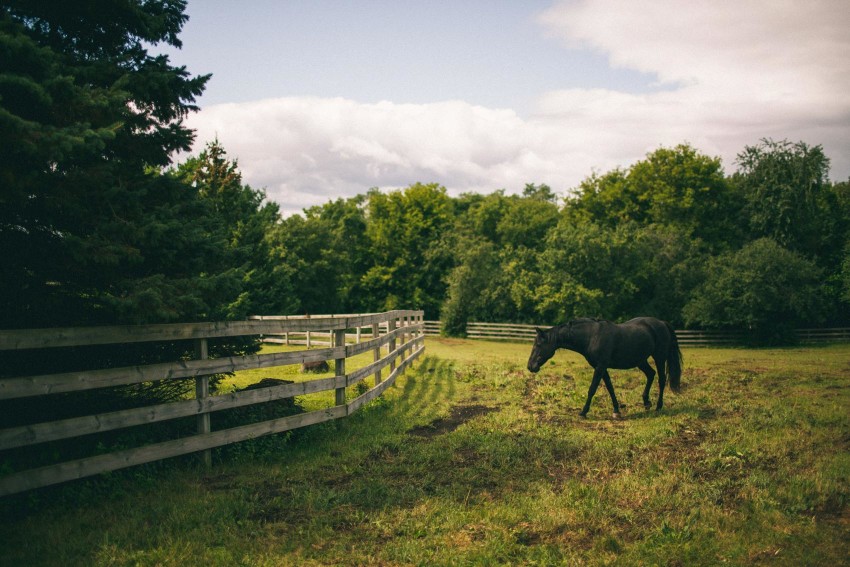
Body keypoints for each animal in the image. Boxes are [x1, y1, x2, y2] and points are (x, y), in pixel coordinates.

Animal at [528, 318, 680, 420]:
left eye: (539, 345)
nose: (530, 366)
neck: (591, 336)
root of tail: (662, 323)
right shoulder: (601, 367)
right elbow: (610, 388)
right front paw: (616, 411)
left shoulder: (600, 367)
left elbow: (592, 389)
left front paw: (583, 412)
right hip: (641, 361)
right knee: (651, 374)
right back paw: (646, 402)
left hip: (659, 358)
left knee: (661, 379)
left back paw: (658, 406)